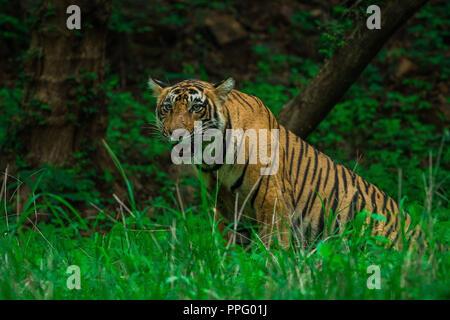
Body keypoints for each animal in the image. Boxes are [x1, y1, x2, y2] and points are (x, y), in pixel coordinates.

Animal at [149, 76, 420, 249]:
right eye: (167, 108)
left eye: (196, 108)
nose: (176, 133)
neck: (213, 158)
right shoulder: (224, 204)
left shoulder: (272, 198)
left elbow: (273, 244)